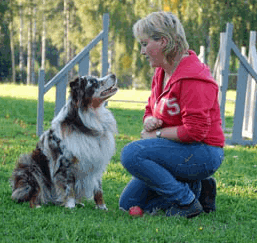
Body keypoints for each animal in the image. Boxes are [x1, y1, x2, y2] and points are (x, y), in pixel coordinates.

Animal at [10, 74, 117, 209]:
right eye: (94, 82)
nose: (113, 75)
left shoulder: (97, 160)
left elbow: (98, 188)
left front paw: (102, 207)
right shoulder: (65, 163)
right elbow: (68, 187)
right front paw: (70, 206)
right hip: (31, 166)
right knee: (34, 190)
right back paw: (37, 205)